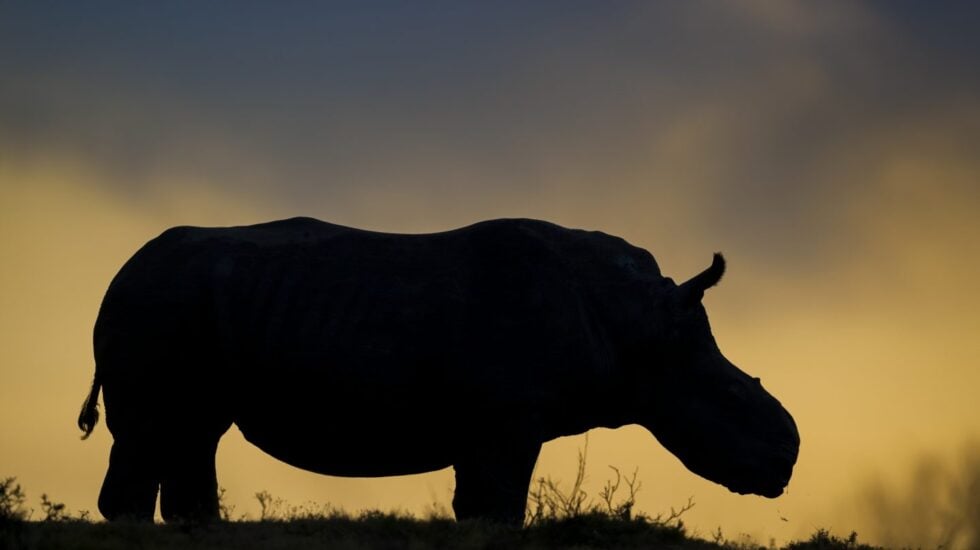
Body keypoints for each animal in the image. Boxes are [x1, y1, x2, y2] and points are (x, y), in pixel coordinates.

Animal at [76, 218, 796, 524]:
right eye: (732, 398)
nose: (788, 459)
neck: (639, 320)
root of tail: (119, 272)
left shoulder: (494, 422)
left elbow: (478, 505)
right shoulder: (509, 417)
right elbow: (497, 507)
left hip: (192, 306)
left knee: (193, 433)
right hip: (156, 304)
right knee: (151, 434)